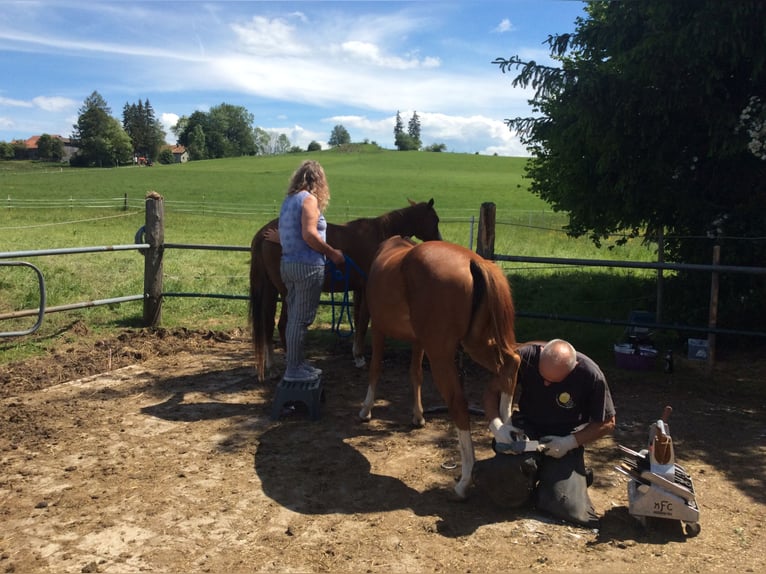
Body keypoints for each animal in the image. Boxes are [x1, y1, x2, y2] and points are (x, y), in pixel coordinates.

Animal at [250, 199, 444, 382]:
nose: (439, 241)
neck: (380, 237)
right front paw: (360, 357)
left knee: (269, 324)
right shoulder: (365, 289)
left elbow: (358, 320)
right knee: (282, 324)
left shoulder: (357, 290)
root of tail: (265, 233)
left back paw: (274, 368)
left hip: (272, 290)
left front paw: (356, 355)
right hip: (286, 292)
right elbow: (364, 321)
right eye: (435, 220)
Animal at [360, 237, 520, 500]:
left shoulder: (378, 330)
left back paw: (464, 481)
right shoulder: (418, 341)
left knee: (458, 404)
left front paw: (366, 409)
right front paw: (418, 416)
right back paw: (507, 433)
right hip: (474, 344)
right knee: (511, 364)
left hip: (442, 355)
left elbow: (375, 369)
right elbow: (415, 375)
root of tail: (473, 261)